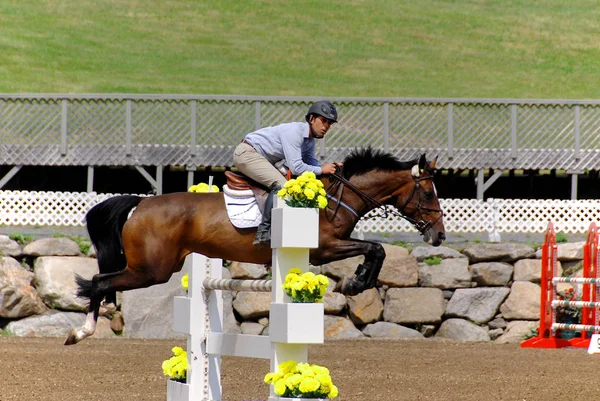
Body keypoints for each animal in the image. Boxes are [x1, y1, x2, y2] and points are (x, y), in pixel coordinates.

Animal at [64, 147, 446, 344]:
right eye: (428, 193)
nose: (440, 236)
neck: (337, 197)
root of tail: (140, 205)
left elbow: (375, 249)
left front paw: (358, 280)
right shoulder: (325, 248)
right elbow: (375, 248)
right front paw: (357, 282)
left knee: (101, 283)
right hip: (150, 270)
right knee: (98, 282)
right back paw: (81, 332)